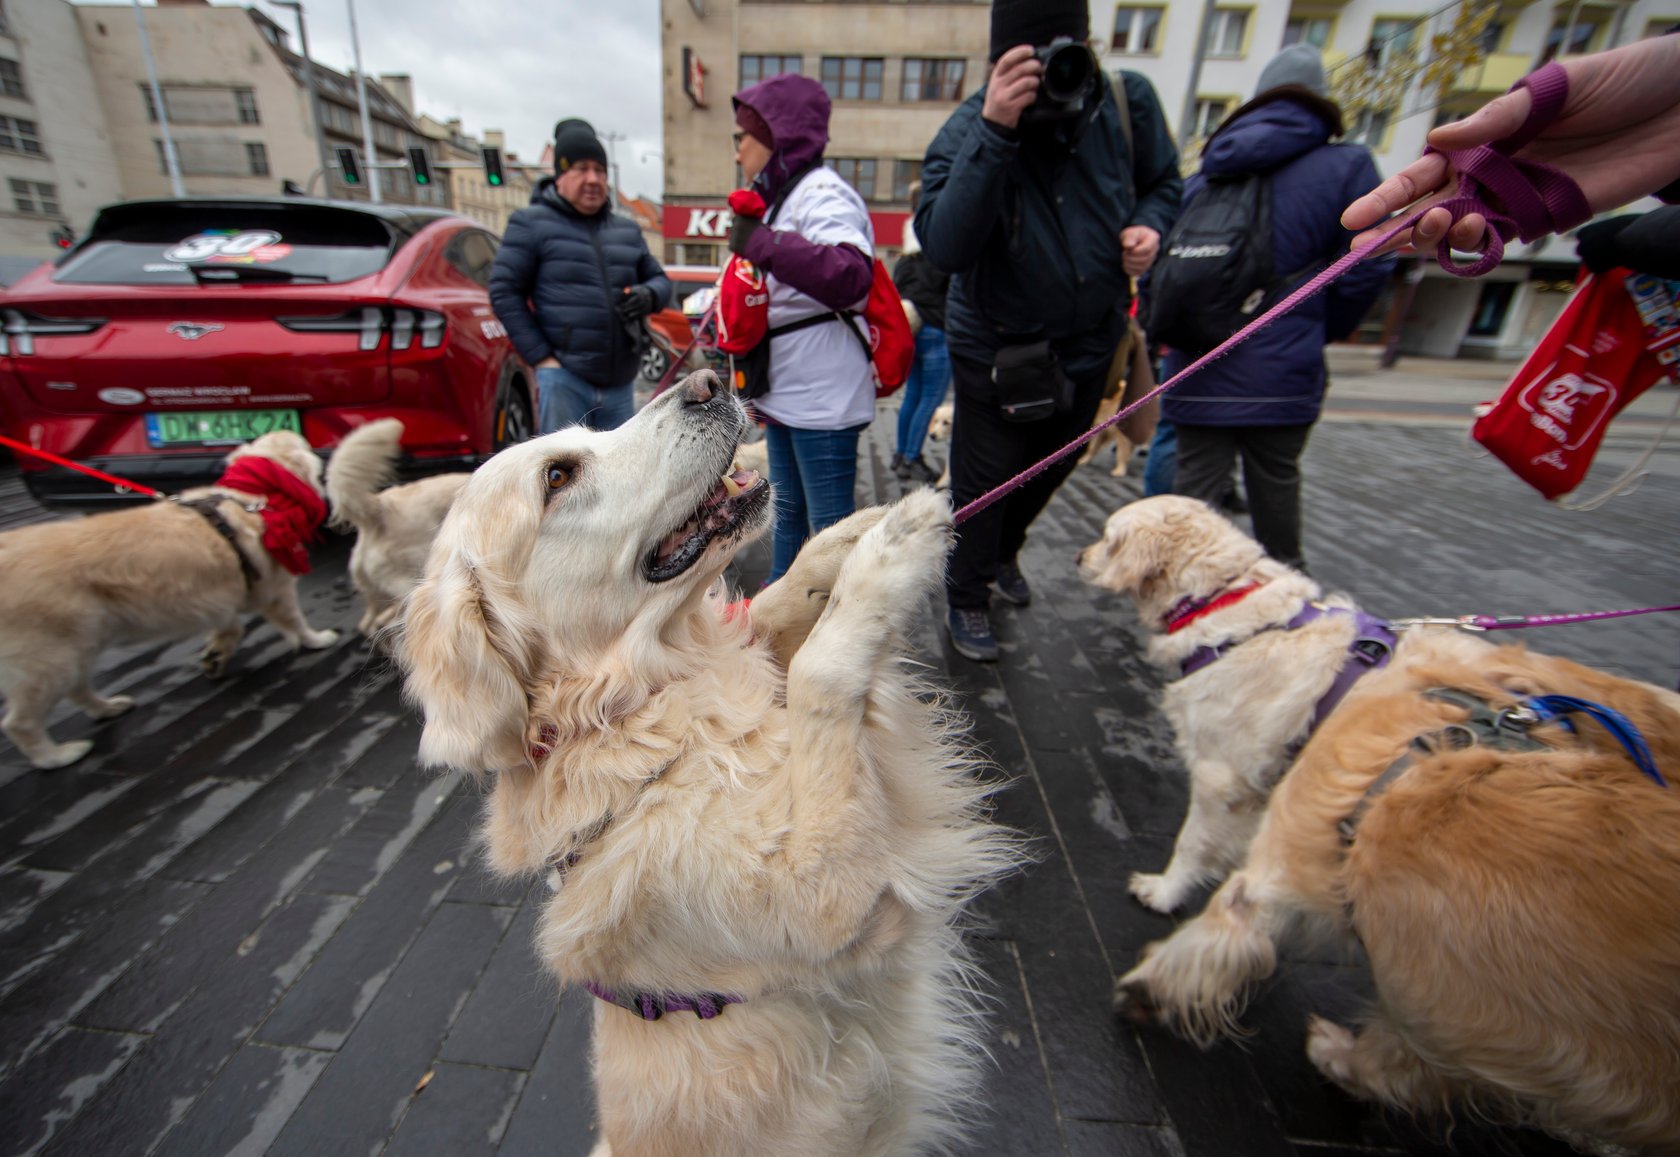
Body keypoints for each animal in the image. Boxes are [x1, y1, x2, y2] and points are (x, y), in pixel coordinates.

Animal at [0, 431, 339, 769]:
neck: (252, 496)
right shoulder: (276, 588)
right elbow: (295, 621)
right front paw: (316, 639)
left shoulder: (219, 595)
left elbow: (230, 627)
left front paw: (216, 655)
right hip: (50, 659)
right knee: (19, 723)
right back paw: (56, 756)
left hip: (80, 645)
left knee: (78, 690)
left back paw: (108, 707)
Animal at [399, 370, 1017, 1156]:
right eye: (558, 477)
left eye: (588, 436)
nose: (708, 380)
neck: (633, 710)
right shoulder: (832, 897)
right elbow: (817, 673)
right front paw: (892, 552)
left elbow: (770, 612)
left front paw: (846, 539)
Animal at [1078, 495, 1389, 913]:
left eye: (1108, 539)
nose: (1078, 556)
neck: (1219, 599)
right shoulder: (1259, 787)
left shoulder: (1219, 775)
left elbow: (1192, 843)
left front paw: (1164, 893)